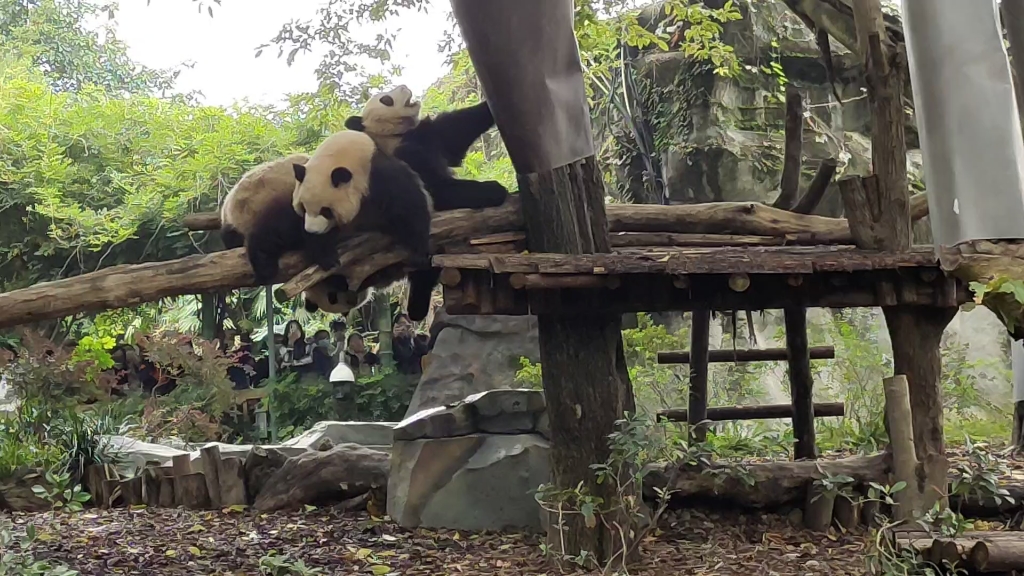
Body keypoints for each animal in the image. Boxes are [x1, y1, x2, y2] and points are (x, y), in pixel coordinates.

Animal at [290, 127, 438, 319]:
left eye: (325, 210)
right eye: (303, 207)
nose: (312, 230)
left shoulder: (380, 177)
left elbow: (409, 206)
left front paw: (418, 253)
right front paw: (326, 257)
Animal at [346, 85, 509, 211]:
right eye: (386, 100)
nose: (404, 86)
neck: (395, 134)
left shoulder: (429, 135)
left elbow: (458, 129)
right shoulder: (405, 154)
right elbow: (439, 189)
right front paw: (494, 189)